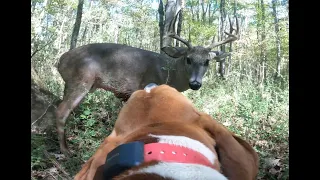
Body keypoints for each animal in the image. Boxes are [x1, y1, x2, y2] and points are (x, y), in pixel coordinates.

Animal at [56, 10, 239, 156]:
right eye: (188, 59)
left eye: (207, 61)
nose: (195, 83)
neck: (170, 72)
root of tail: (61, 60)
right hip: (81, 80)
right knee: (61, 111)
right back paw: (66, 151)